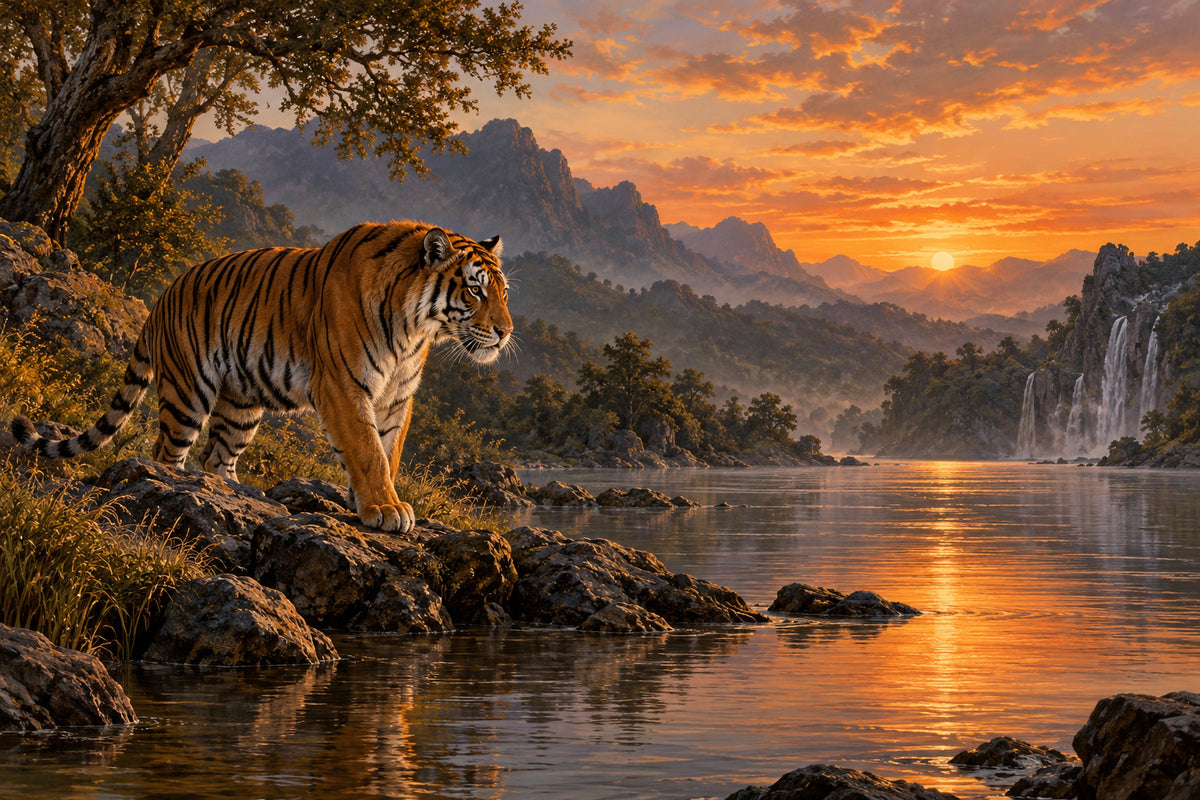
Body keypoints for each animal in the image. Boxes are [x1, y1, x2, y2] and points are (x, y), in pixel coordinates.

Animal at [10, 221, 512, 533]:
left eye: (504, 292)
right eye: (475, 290)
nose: (506, 332)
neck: (415, 328)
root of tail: (160, 299)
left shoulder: (396, 397)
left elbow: (388, 452)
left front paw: (373, 504)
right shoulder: (344, 385)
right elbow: (368, 451)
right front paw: (385, 509)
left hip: (241, 405)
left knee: (216, 458)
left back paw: (235, 492)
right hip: (188, 394)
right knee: (167, 453)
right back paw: (175, 487)